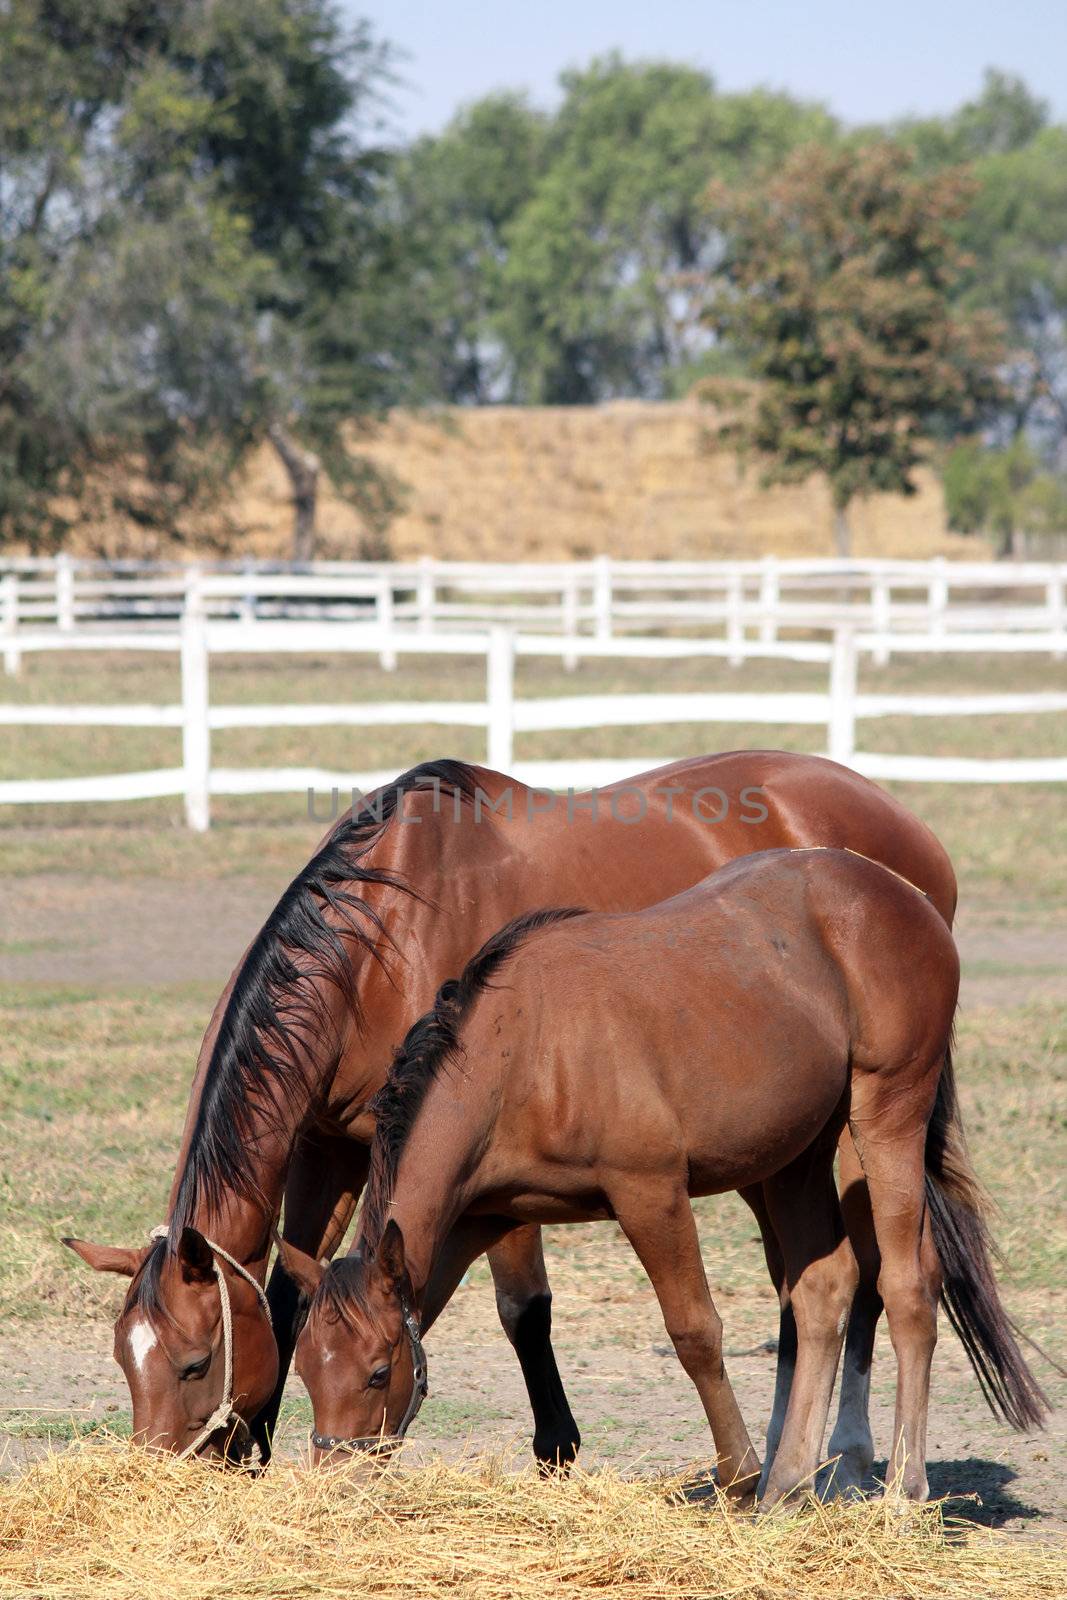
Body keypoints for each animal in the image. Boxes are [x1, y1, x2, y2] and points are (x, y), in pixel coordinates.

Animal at [66, 755, 959, 1465]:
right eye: (122, 1360)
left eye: (193, 1361)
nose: (160, 1472)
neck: (383, 940)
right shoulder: (328, 1149)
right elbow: (289, 1300)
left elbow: (521, 1309)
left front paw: (556, 1448)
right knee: (800, 1277)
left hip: (859, 1124)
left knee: (876, 1266)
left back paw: (849, 1454)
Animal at [287, 851, 1049, 1497]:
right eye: (305, 1369)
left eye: (377, 1372)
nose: (332, 1485)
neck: (521, 1051)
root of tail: (902, 892)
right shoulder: (477, 1220)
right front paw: (756, 1477)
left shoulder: (649, 1193)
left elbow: (694, 1331)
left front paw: (738, 1473)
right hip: (797, 1155)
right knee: (823, 1289)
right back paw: (788, 1485)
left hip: (884, 1119)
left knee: (906, 1286)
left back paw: (897, 1493)